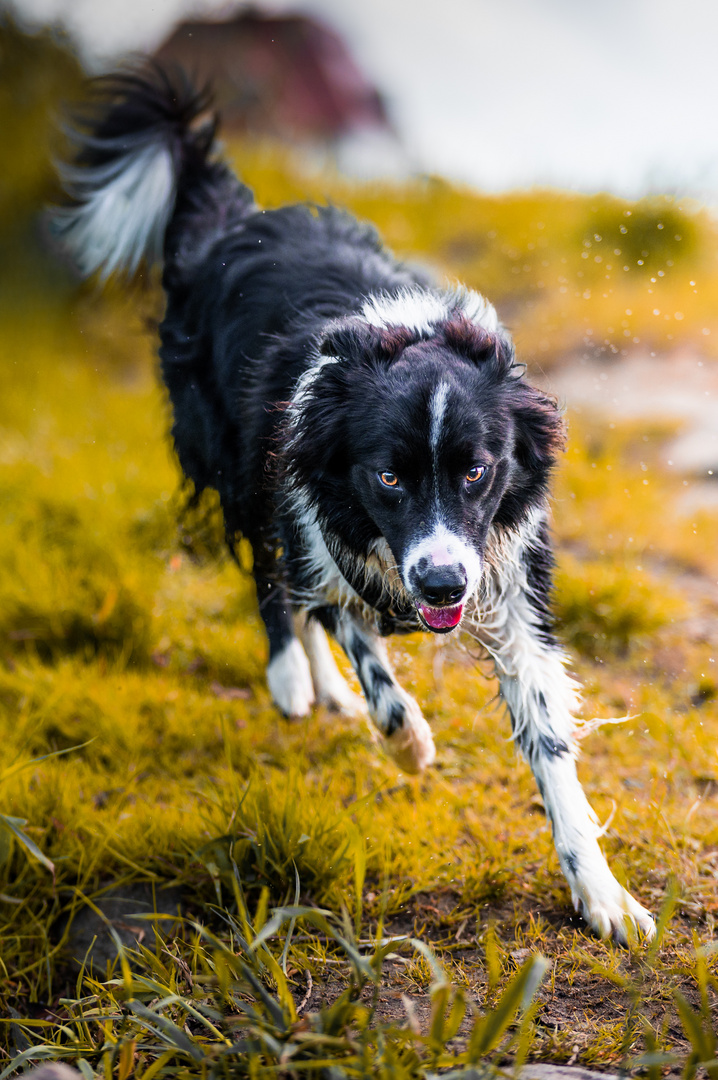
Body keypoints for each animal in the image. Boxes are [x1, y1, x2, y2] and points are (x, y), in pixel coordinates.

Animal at [54, 69, 656, 946]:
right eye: (390, 479)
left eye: (477, 472)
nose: (441, 587)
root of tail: (238, 215)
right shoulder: (322, 513)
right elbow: (372, 663)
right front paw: (410, 747)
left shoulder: (507, 577)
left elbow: (550, 744)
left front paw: (602, 893)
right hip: (240, 463)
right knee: (274, 579)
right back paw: (295, 682)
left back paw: (325, 689)